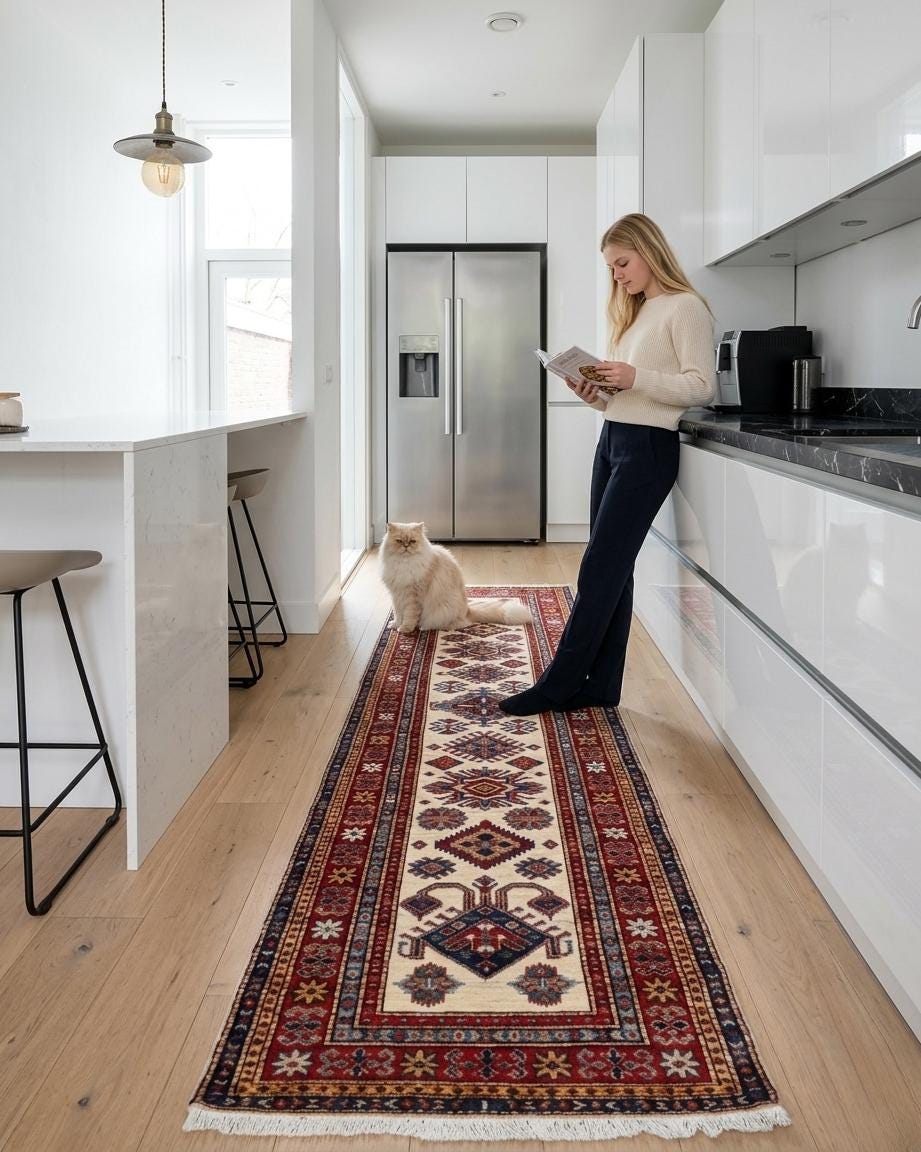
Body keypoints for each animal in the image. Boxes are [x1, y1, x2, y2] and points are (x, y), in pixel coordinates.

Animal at [380, 522, 533, 633]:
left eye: (412, 541)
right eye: (399, 541)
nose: (406, 546)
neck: (403, 565)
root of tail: (468, 611)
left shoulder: (413, 597)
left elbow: (409, 616)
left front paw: (405, 629)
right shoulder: (397, 594)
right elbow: (398, 613)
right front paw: (395, 625)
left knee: (459, 624)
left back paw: (425, 627)